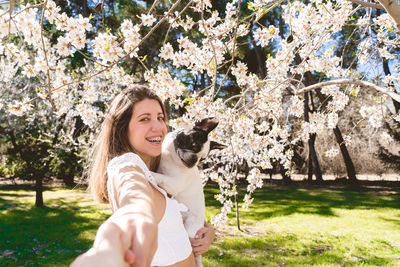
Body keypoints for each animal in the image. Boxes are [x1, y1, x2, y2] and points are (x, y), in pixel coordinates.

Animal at [152, 118, 223, 267]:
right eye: (194, 146)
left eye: (203, 159)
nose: (195, 160)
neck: (171, 156)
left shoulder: (174, 184)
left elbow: (159, 176)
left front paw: (149, 173)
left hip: (190, 229)